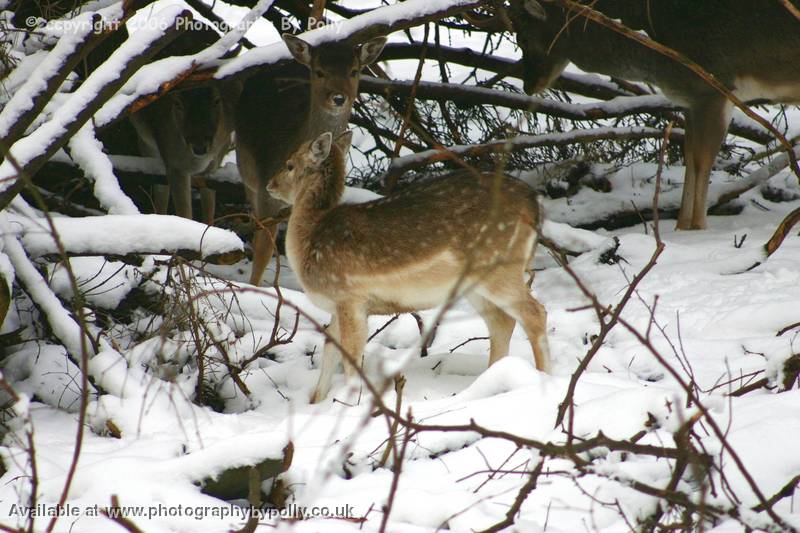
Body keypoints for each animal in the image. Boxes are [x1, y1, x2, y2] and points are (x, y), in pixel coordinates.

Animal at [130, 25, 238, 222]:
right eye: (177, 102)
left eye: (216, 100)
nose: (200, 146)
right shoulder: (174, 163)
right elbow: (184, 213)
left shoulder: (216, 160)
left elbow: (209, 206)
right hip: (145, 140)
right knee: (160, 191)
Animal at [268, 130, 552, 404]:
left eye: (290, 164)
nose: (271, 185)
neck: (310, 241)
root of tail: (535, 203)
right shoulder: (339, 304)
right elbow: (329, 348)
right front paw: (316, 401)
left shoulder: (350, 297)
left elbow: (351, 355)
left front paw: (349, 403)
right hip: (476, 284)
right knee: (501, 321)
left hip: (499, 265)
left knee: (534, 313)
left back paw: (544, 379)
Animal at [506, 0, 800, 229]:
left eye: (523, 37)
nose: (528, 85)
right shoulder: (690, 100)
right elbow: (690, 159)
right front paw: (682, 226)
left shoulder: (713, 87)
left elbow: (702, 162)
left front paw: (699, 227)